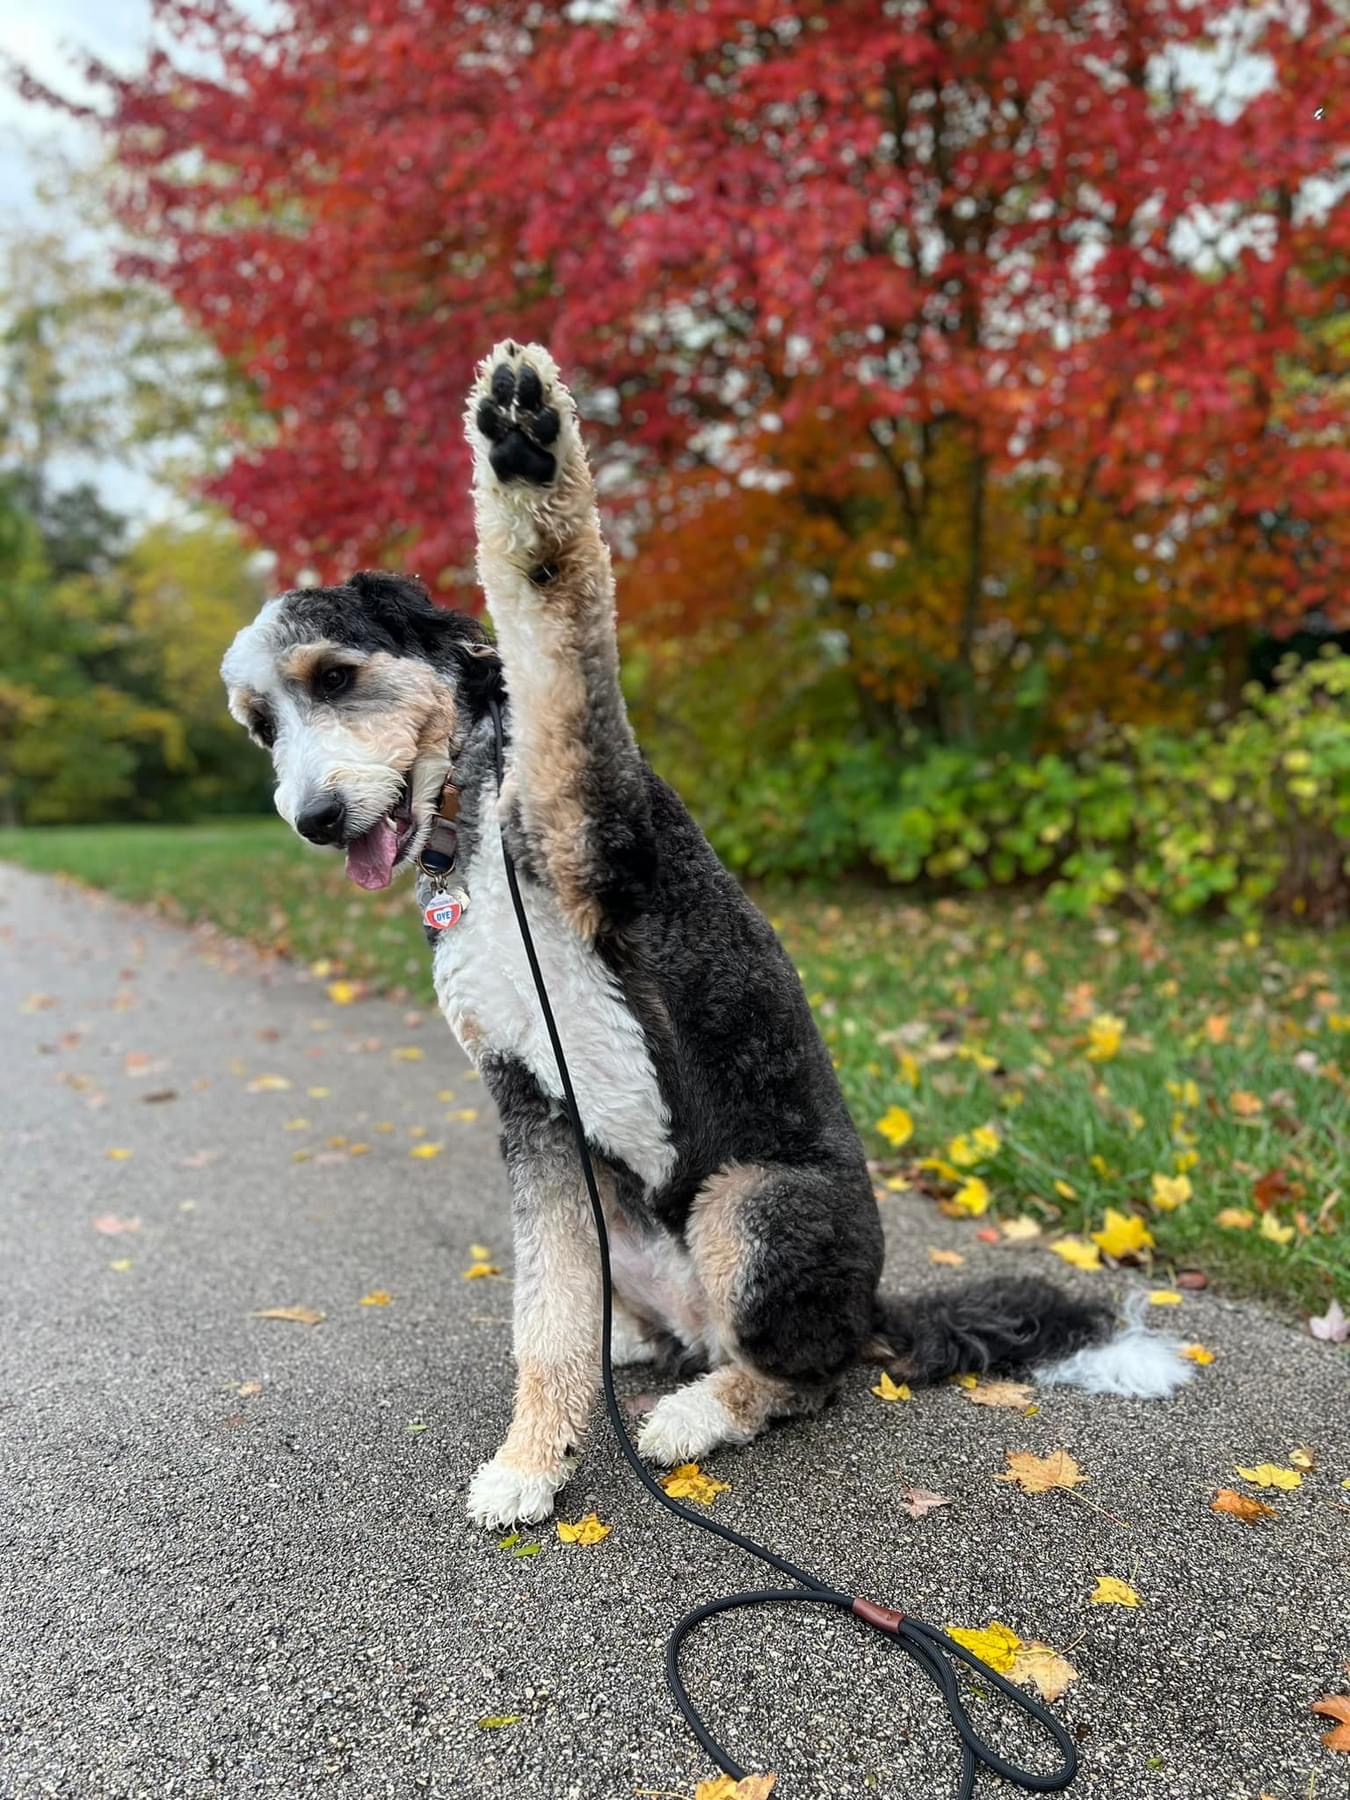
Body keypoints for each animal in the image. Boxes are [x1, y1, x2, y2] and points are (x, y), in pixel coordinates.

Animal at [219, 334, 1180, 1519]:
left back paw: (696, 1413)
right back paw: (640, 1354)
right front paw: (533, 1461)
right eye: (260, 726)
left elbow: (558, 612)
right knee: (661, 1329)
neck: (477, 826)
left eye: (336, 676)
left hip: (753, 1204)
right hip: (623, 1221)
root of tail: (871, 1310)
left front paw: (527, 451)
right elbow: (543, 1319)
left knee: (800, 1376)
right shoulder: (534, 1115)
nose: (312, 819)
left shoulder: (590, 816)